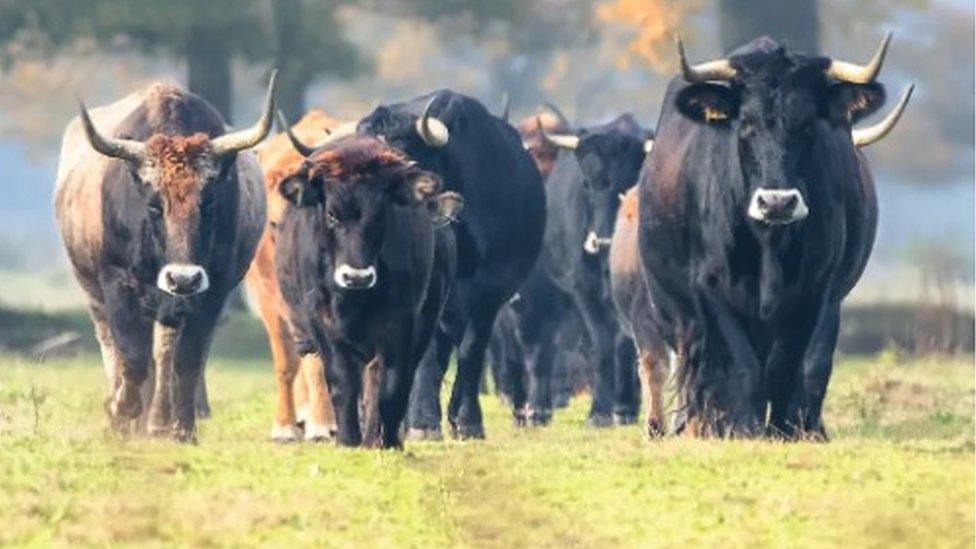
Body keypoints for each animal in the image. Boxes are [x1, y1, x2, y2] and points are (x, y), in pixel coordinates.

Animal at [268, 132, 464, 446]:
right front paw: (348, 441)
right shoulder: (322, 322)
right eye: (332, 215)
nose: (356, 277)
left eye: (381, 214)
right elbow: (342, 382)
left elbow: (392, 386)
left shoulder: (402, 322)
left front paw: (389, 442)